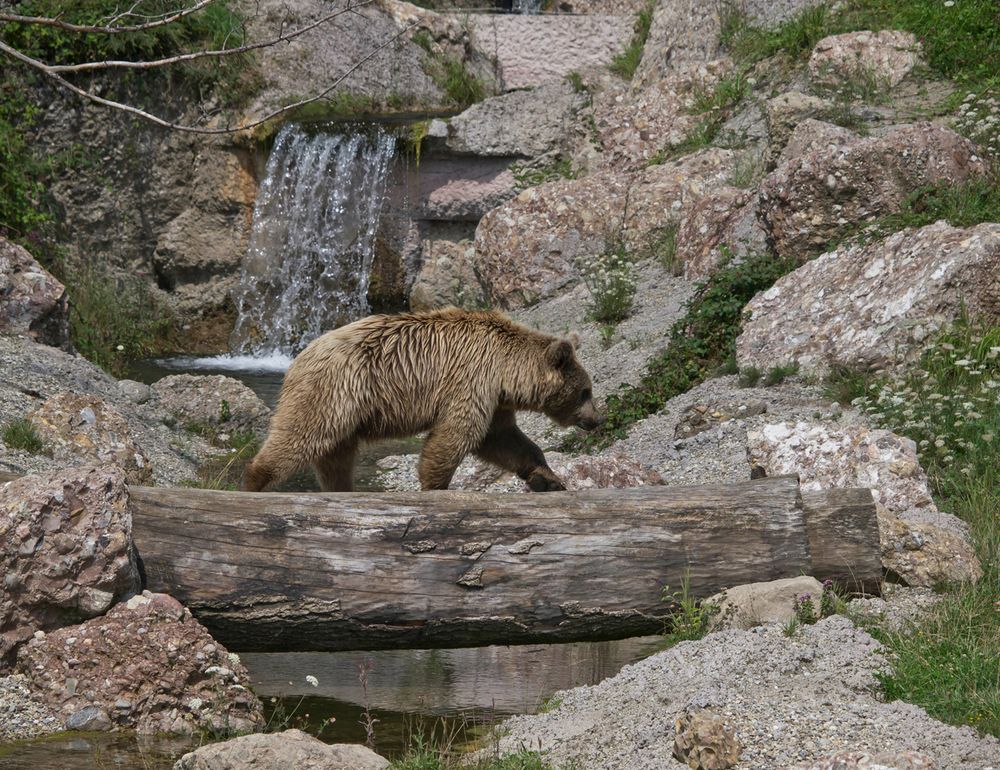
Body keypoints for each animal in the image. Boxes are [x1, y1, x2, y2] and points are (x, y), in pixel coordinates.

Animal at [244, 308, 600, 492]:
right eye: (586, 391)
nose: (597, 419)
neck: (506, 371)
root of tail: (299, 356)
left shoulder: (495, 400)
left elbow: (504, 440)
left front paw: (548, 478)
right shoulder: (471, 379)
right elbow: (457, 435)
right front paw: (434, 486)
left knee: (335, 458)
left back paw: (342, 489)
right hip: (334, 390)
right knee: (301, 436)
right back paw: (254, 482)